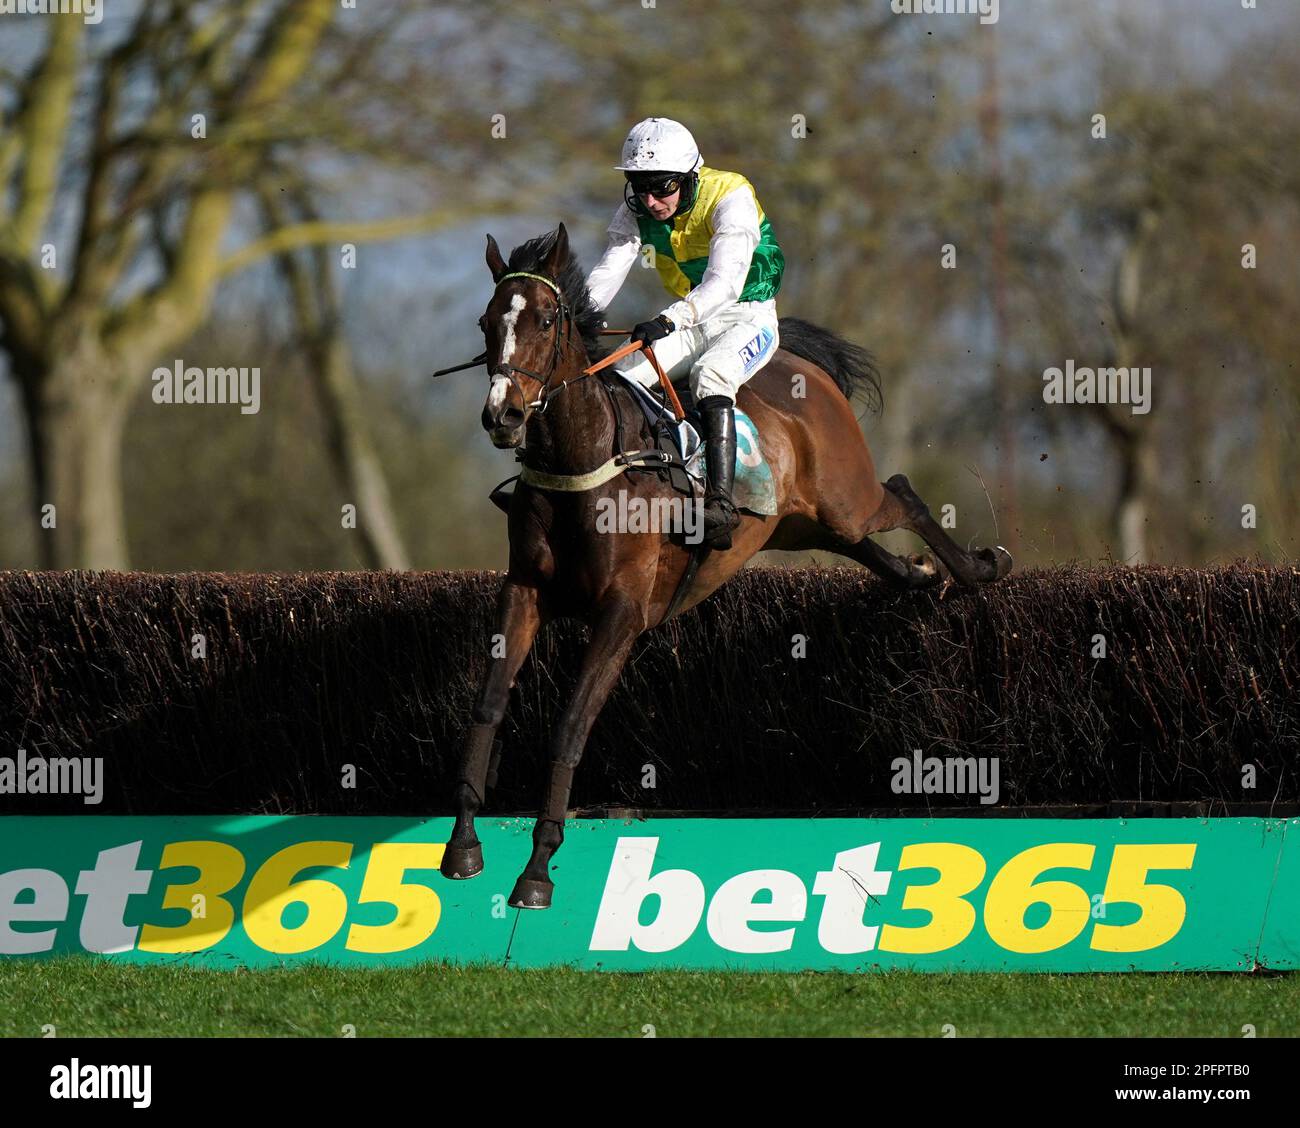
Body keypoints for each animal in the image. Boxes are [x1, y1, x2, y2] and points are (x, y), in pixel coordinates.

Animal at [441, 222, 1008, 909]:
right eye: (487, 321)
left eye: (547, 320)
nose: (503, 414)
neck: (586, 467)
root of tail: (802, 366)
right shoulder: (523, 592)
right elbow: (487, 708)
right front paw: (462, 845)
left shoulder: (623, 612)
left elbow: (570, 727)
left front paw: (537, 870)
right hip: (800, 523)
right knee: (869, 548)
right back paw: (924, 575)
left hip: (845, 498)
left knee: (902, 494)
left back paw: (980, 567)